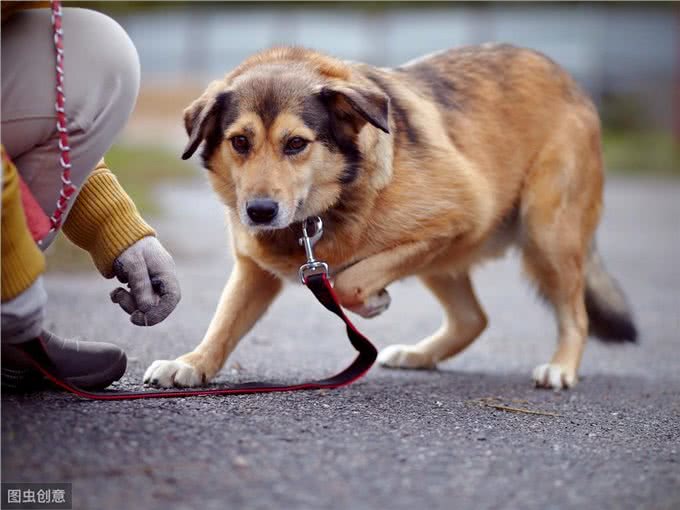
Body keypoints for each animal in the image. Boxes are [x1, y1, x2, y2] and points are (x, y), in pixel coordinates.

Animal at [143, 44, 636, 390]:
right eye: (240, 142)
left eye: (296, 144)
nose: (260, 213)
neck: (320, 214)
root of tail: (567, 77)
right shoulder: (253, 271)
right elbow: (224, 322)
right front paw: (193, 363)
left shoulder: (458, 217)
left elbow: (349, 281)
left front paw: (372, 301)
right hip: (446, 262)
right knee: (473, 319)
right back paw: (420, 355)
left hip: (546, 233)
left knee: (574, 315)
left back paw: (561, 368)